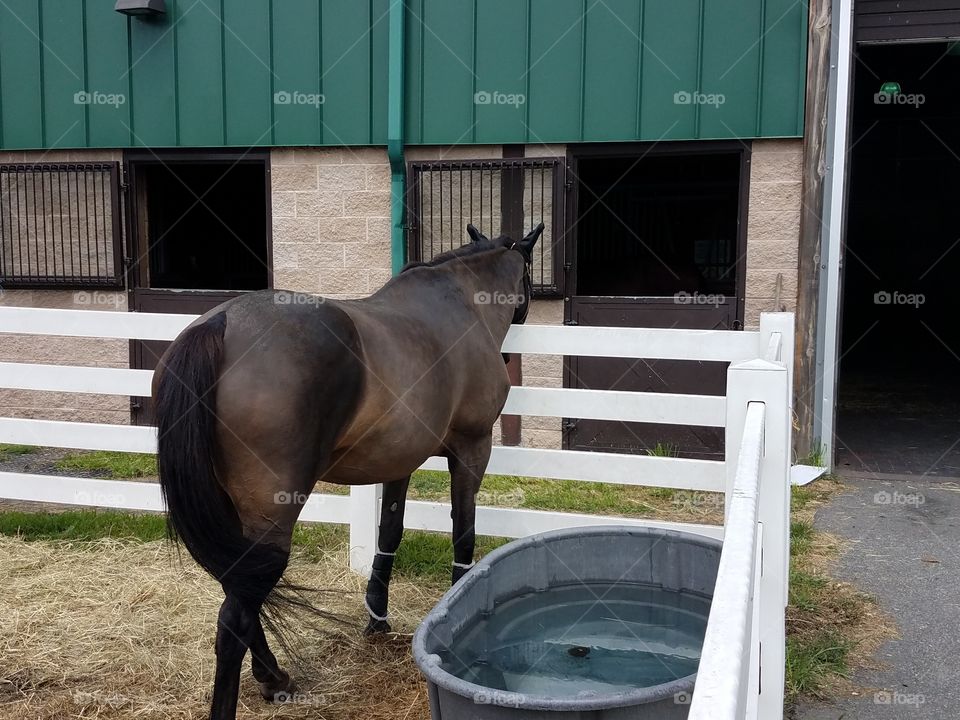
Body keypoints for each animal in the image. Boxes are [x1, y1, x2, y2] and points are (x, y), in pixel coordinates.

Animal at [152, 223, 543, 720]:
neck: (461, 304)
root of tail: (219, 325)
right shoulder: (472, 449)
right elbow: (464, 533)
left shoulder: (401, 459)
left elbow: (389, 532)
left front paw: (377, 615)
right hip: (273, 512)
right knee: (234, 616)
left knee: (238, 586)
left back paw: (274, 675)